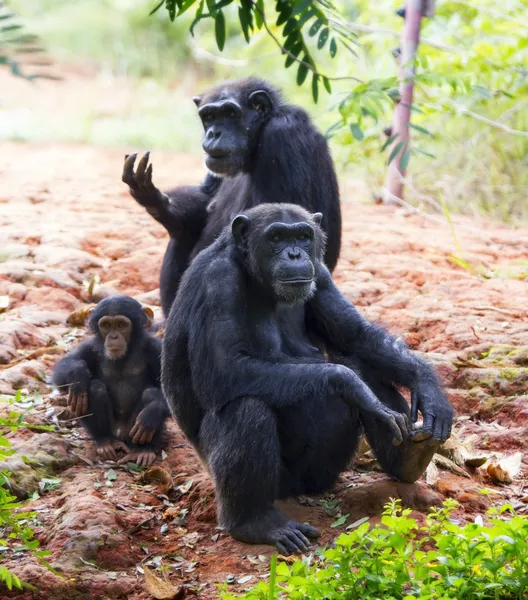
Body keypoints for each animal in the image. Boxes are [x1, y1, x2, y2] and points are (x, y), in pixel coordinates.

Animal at [52, 298, 170, 466]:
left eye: (121, 325)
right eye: (106, 325)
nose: (113, 337)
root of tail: (120, 436)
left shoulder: (156, 349)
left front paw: (152, 412)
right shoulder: (90, 347)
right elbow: (63, 370)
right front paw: (78, 375)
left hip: (131, 432)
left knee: (151, 393)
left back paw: (143, 449)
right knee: (95, 387)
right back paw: (105, 442)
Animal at [121, 78, 340, 318]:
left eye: (230, 113)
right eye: (209, 116)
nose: (214, 133)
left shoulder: (285, 134)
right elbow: (205, 202)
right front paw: (157, 200)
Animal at [162, 204, 454, 556]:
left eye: (303, 235)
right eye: (276, 237)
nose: (294, 253)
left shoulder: (322, 275)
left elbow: (356, 337)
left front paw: (430, 390)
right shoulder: (217, 282)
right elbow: (225, 369)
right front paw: (352, 386)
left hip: (325, 471)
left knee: (361, 358)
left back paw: (408, 459)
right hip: (273, 481)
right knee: (247, 409)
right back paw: (255, 522)